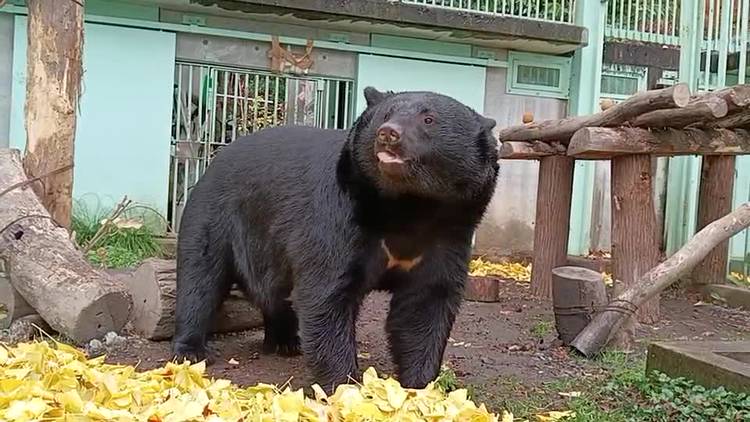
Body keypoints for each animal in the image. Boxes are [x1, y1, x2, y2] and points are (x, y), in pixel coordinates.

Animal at [172, 86, 499, 391]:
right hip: (215, 215)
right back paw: (191, 349)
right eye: (386, 114)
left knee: (273, 291)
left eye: (428, 119)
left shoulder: (449, 234)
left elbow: (426, 302)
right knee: (201, 278)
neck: (408, 206)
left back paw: (286, 341)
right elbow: (326, 292)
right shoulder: (339, 218)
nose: (388, 134)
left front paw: (419, 385)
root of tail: (215, 160)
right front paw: (346, 386)